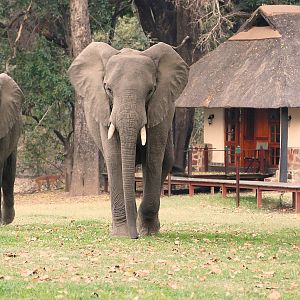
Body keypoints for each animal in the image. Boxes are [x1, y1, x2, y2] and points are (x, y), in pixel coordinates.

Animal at [69, 42, 189, 239]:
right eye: (108, 89)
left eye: (151, 90)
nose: (135, 236)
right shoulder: (105, 111)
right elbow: (114, 159)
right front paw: (121, 234)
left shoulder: (159, 110)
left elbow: (153, 160)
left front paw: (147, 231)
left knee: (165, 162)